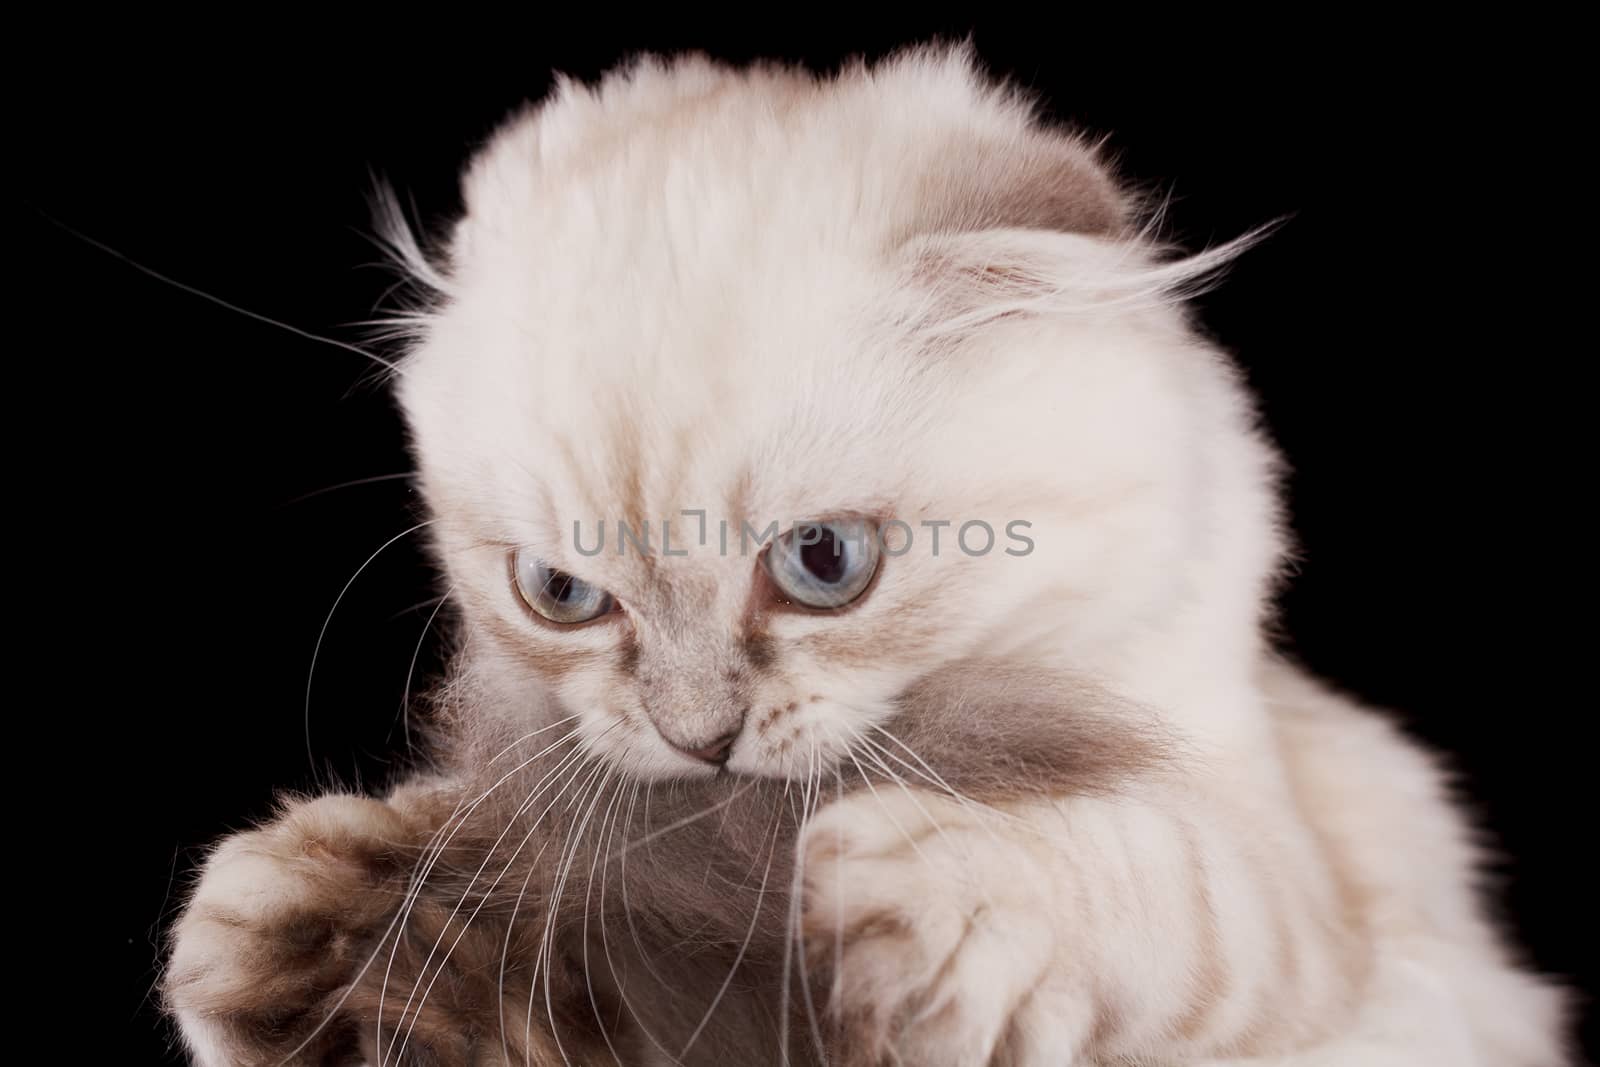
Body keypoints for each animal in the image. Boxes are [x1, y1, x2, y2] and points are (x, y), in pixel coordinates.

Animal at [162, 43, 1561, 1067]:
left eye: (823, 563)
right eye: (562, 595)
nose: (699, 739)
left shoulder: (1294, 892)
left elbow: (1150, 883)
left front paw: (935, 896)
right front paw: (292, 920)